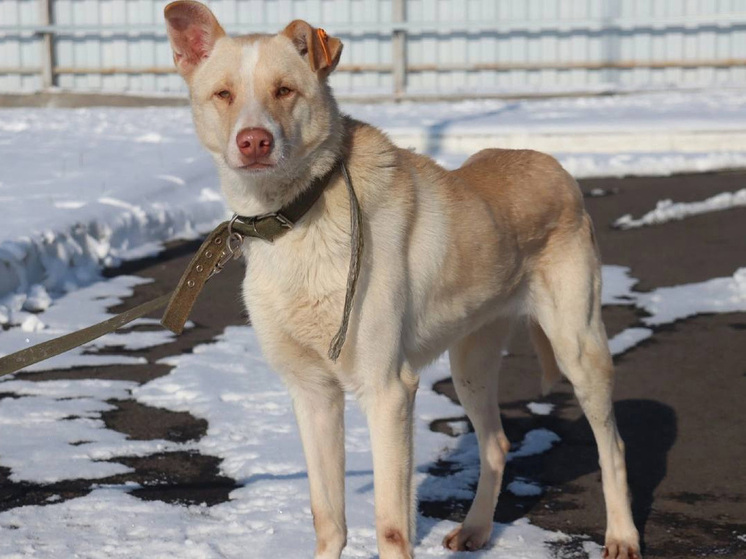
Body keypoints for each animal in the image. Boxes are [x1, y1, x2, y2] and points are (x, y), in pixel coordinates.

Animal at [166, 2, 644, 556]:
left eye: (284, 90)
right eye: (223, 94)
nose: (254, 141)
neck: (296, 217)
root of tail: (554, 166)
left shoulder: (388, 391)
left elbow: (391, 526)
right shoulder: (312, 394)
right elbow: (327, 517)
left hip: (579, 348)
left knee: (613, 445)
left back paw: (622, 534)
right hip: (470, 364)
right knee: (497, 443)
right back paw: (478, 527)